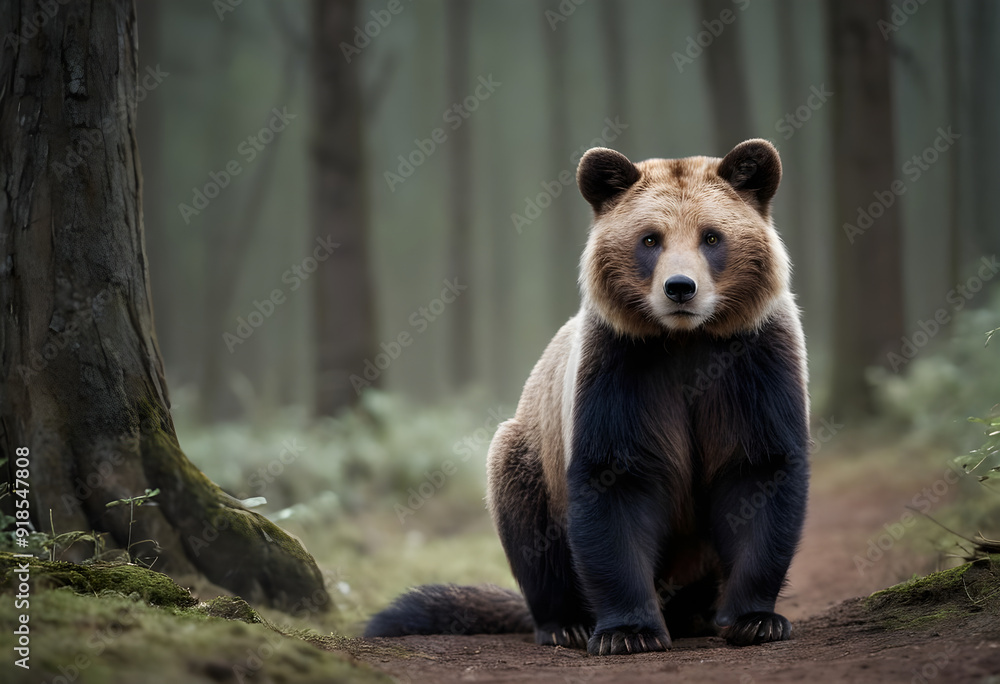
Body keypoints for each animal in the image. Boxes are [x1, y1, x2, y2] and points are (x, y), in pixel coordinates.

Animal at [365, 139, 810, 657]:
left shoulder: (754, 364)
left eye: (712, 237)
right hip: (532, 453)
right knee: (526, 517)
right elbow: (614, 481)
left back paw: (696, 613)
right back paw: (566, 623)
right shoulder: (621, 369)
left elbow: (759, 472)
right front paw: (628, 631)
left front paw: (756, 620)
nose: (680, 288)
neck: (685, 340)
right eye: (650, 239)